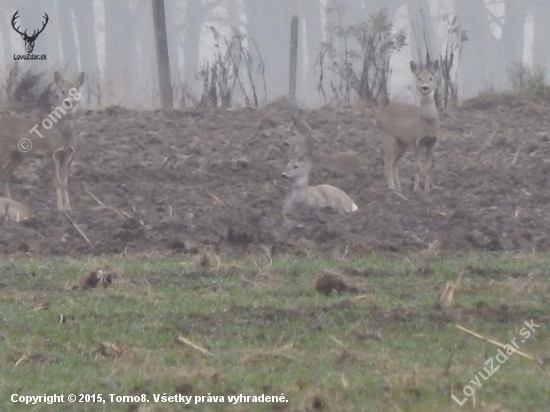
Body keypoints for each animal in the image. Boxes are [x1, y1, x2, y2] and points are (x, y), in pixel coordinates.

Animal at [0, 71, 85, 211]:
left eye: (75, 90)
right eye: (62, 90)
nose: (68, 102)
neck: (63, 133)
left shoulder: (67, 156)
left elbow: (64, 183)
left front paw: (68, 208)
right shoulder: (51, 154)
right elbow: (57, 183)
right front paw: (60, 208)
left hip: (17, 155)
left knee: (5, 175)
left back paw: (10, 203)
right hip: (4, 151)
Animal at [376, 60, 444, 192]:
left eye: (430, 78)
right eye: (419, 78)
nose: (425, 87)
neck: (428, 121)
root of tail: (378, 117)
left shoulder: (431, 142)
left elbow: (428, 168)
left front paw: (427, 190)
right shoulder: (417, 141)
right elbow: (417, 167)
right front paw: (416, 189)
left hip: (403, 142)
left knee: (394, 162)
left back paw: (399, 189)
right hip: (388, 135)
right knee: (387, 162)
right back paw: (392, 189)